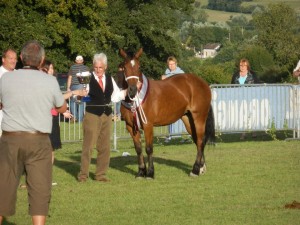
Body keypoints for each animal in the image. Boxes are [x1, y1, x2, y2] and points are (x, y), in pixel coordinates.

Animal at [118, 48, 214, 178]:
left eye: (139, 67)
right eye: (124, 67)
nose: (132, 90)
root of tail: (203, 83)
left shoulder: (148, 125)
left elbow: (149, 148)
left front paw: (150, 173)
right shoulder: (130, 126)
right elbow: (138, 149)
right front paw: (141, 172)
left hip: (199, 118)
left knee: (200, 141)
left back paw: (195, 170)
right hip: (188, 120)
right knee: (198, 141)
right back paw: (201, 168)